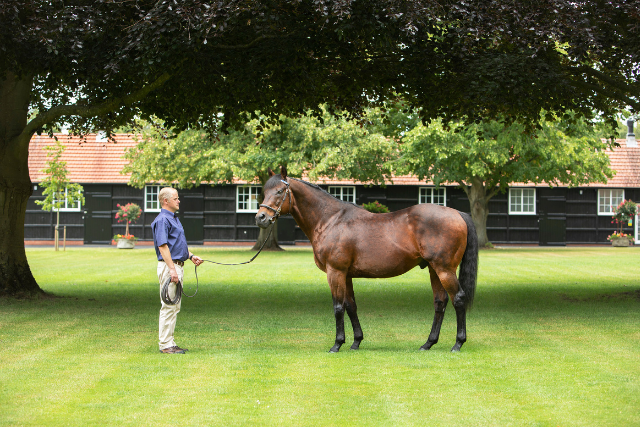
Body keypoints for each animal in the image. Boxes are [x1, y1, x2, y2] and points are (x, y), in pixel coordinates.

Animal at [254, 168, 476, 354]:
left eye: (280, 191)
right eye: (264, 191)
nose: (261, 217)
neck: (330, 220)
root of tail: (457, 213)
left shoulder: (335, 272)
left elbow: (338, 307)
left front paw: (337, 344)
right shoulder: (346, 275)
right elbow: (351, 306)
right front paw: (356, 342)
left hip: (444, 269)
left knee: (458, 299)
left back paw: (458, 343)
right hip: (433, 269)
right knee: (440, 302)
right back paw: (428, 343)